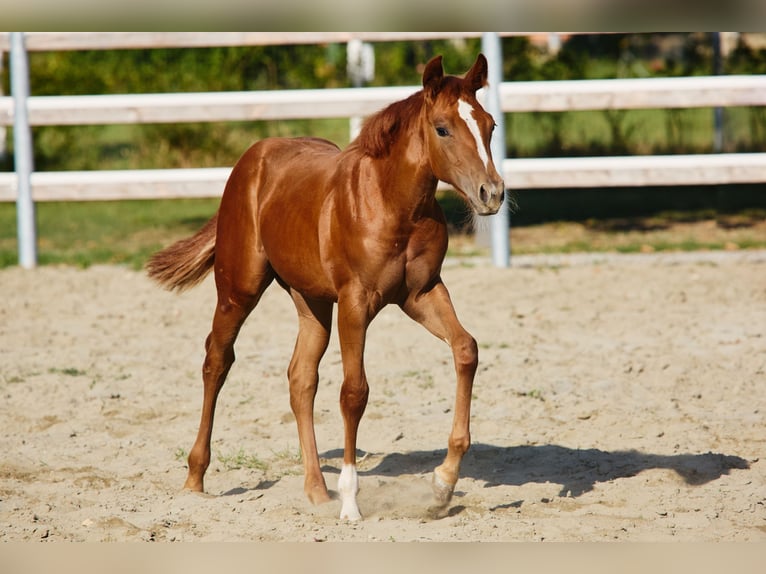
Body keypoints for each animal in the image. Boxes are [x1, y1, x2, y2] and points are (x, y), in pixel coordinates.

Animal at [146, 54, 505, 520]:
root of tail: (252, 158)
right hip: (238, 290)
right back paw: (195, 478)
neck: (392, 203)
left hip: (313, 302)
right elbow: (354, 392)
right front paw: (351, 502)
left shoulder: (422, 293)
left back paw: (317, 490)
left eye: (490, 125)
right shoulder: (356, 301)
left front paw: (442, 485)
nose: (491, 193)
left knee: (301, 378)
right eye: (442, 128)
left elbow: (466, 349)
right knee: (217, 361)